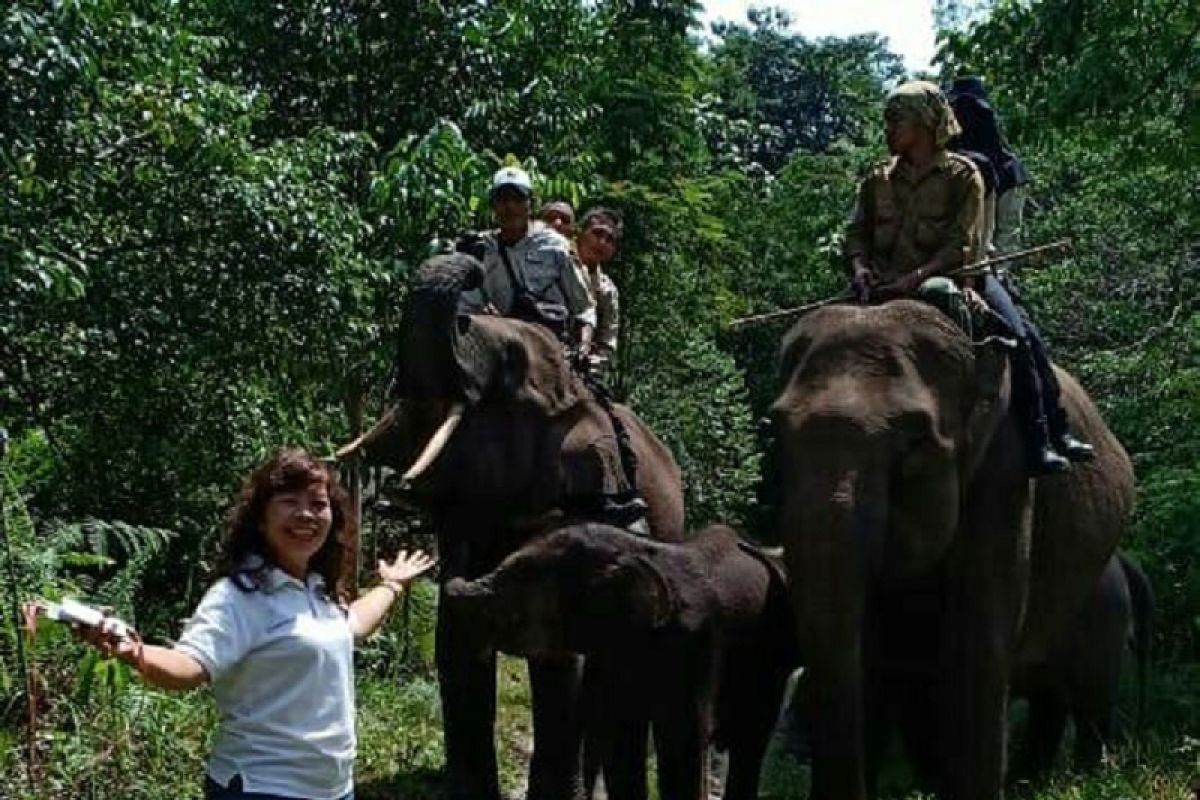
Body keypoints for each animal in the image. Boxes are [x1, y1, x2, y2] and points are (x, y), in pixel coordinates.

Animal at [441, 522, 796, 800]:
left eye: (522, 580)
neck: (636, 551)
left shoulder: (696, 644)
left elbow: (682, 744)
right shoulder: (614, 649)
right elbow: (620, 738)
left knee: (753, 738)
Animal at [768, 298, 1132, 800]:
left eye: (915, 442)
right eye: (775, 434)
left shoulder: (1007, 466)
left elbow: (978, 637)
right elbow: (871, 652)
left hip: (1102, 603)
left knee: (1087, 695)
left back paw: (1082, 778)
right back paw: (1028, 781)